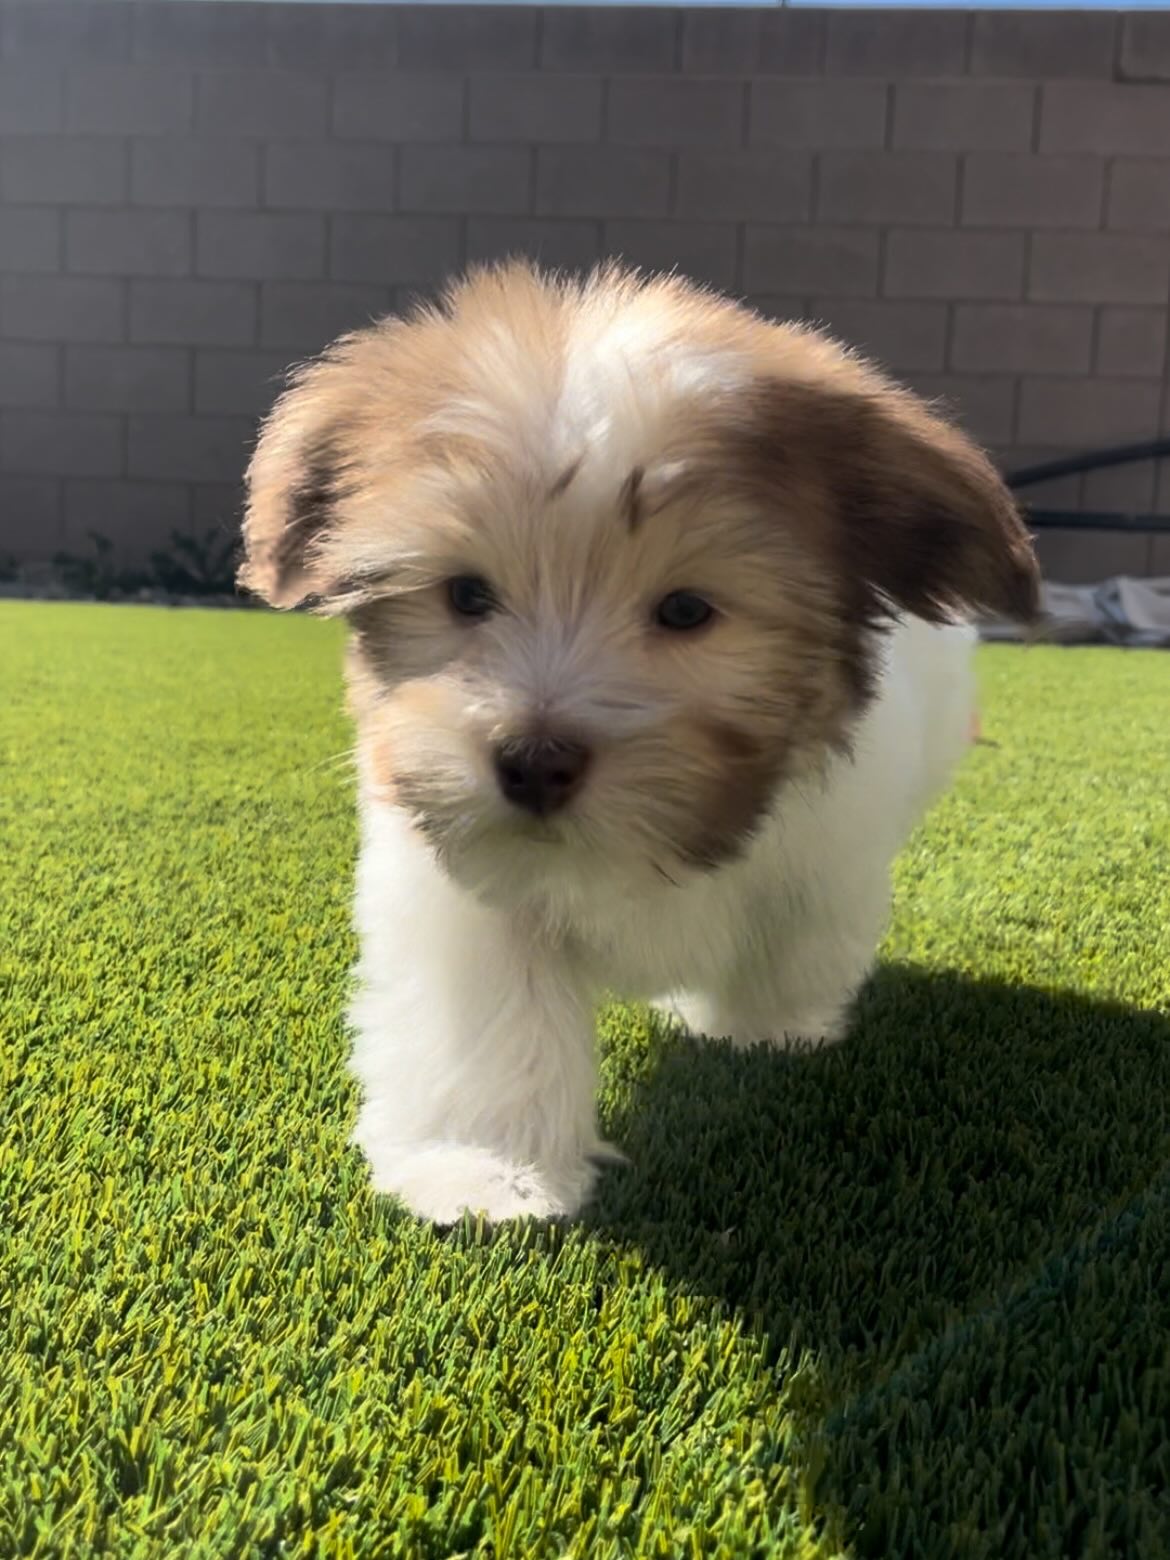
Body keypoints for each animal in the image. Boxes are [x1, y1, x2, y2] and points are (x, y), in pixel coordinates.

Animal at [239, 261, 1039, 1224]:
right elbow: (492, 1013)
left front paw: (765, 1029)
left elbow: (795, 942)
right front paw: (485, 1167)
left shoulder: (827, 853)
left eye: (686, 610)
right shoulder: (466, 883)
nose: (534, 762)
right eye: (466, 595)